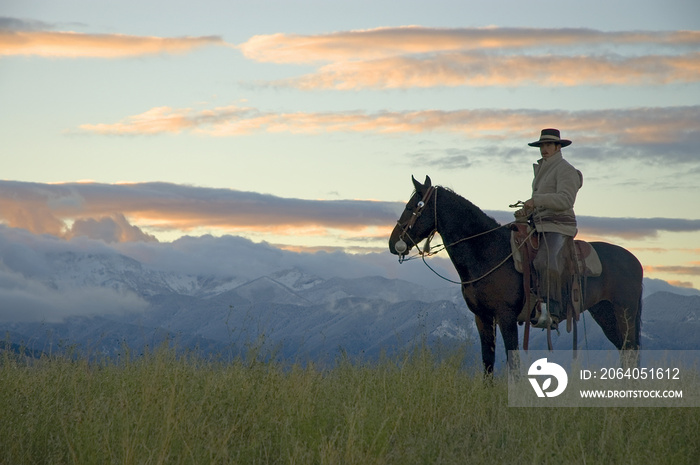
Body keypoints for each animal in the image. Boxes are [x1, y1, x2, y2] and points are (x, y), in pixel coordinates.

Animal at [392, 176, 644, 376]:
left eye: (415, 205)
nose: (393, 242)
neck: (489, 252)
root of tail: (635, 262)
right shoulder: (482, 317)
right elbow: (488, 362)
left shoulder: (506, 316)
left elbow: (513, 363)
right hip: (605, 313)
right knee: (625, 350)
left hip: (625, 312)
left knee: (631, 350)